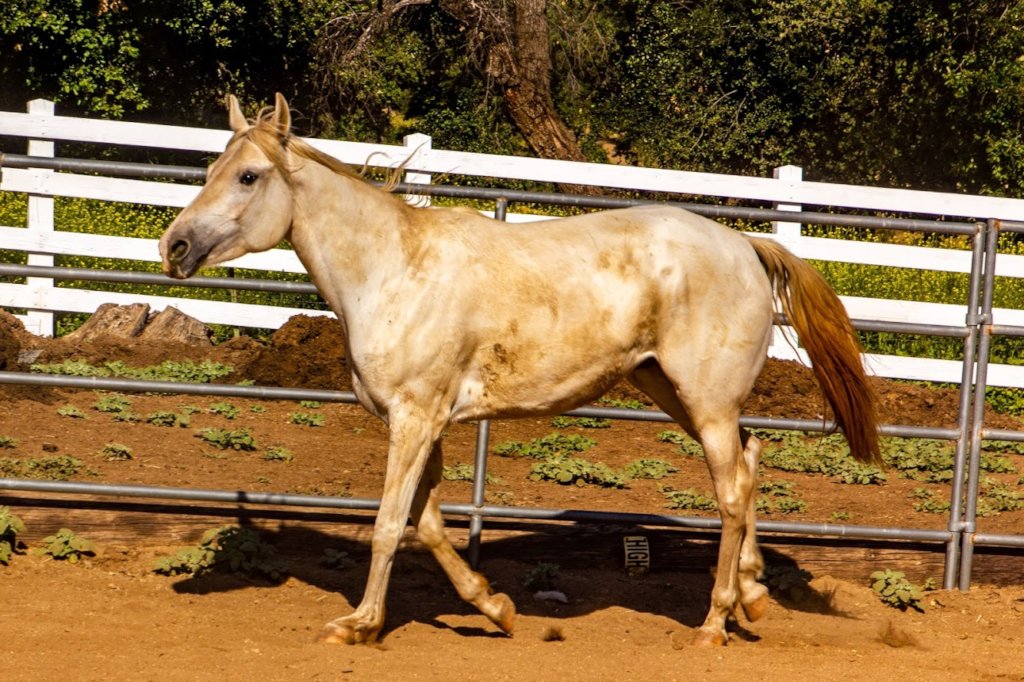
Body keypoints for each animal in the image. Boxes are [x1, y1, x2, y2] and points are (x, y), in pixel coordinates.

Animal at [160, 93, 880, 647]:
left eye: (248, 177)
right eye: (213, 166)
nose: (174, 246)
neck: (393, 271)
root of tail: (747, 245)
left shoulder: (413, 420)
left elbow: (390, 524)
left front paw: (360, 625)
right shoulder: (426, 424)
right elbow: (427, 523)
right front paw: (496, 608)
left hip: (706, 404)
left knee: (730, 493)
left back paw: (712, 624)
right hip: (674, 391)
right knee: (750, 466)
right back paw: (752, 596)